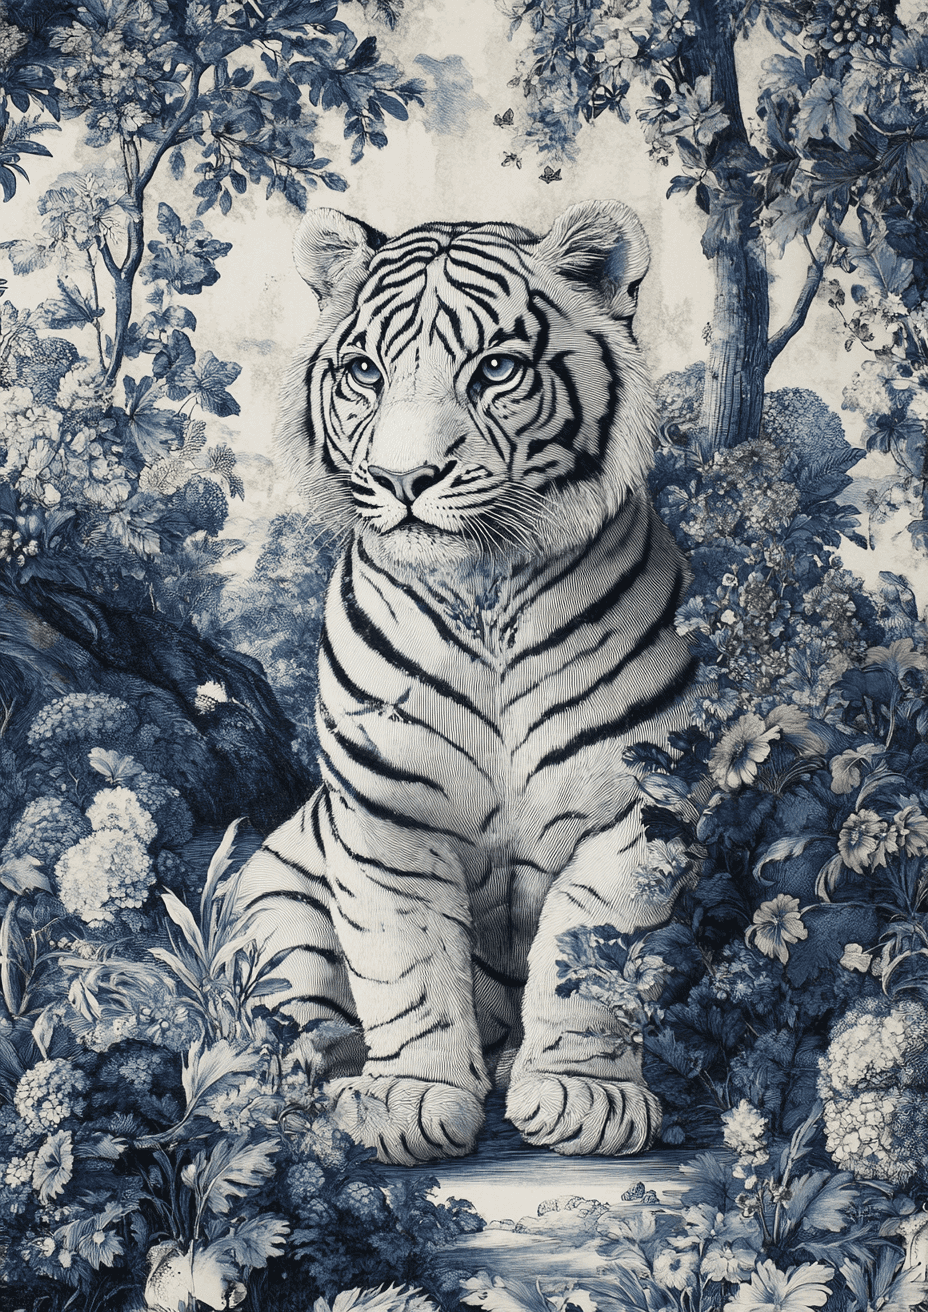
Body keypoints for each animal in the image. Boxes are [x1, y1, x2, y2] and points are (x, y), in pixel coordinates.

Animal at [231, 200, 697, 1166]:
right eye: (364, 372)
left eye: (496, 369)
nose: (403, 479)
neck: (486, 592)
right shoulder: (385, 817)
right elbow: (404, 962)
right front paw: (408, 1098)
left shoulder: (640, 813)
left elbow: (589, 959)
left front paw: (584, 1096)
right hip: (276, 898)